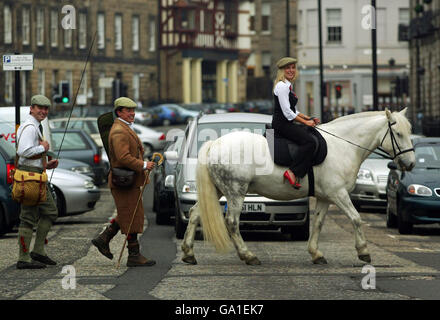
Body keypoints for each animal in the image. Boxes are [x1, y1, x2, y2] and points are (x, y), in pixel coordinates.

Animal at [180, 109, 414, 266]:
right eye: (398, 134)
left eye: (410, 132)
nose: (410, 164)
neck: (342, 145)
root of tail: (214, 144)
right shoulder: (338, 194)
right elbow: (356, 218)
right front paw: (363, 251)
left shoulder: (325, 197)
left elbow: (318, 223)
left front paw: (315, 253)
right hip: (236, 192)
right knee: (232, 223)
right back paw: (248, 255)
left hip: (218, 190)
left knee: (194, 214)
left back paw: (189, 253)